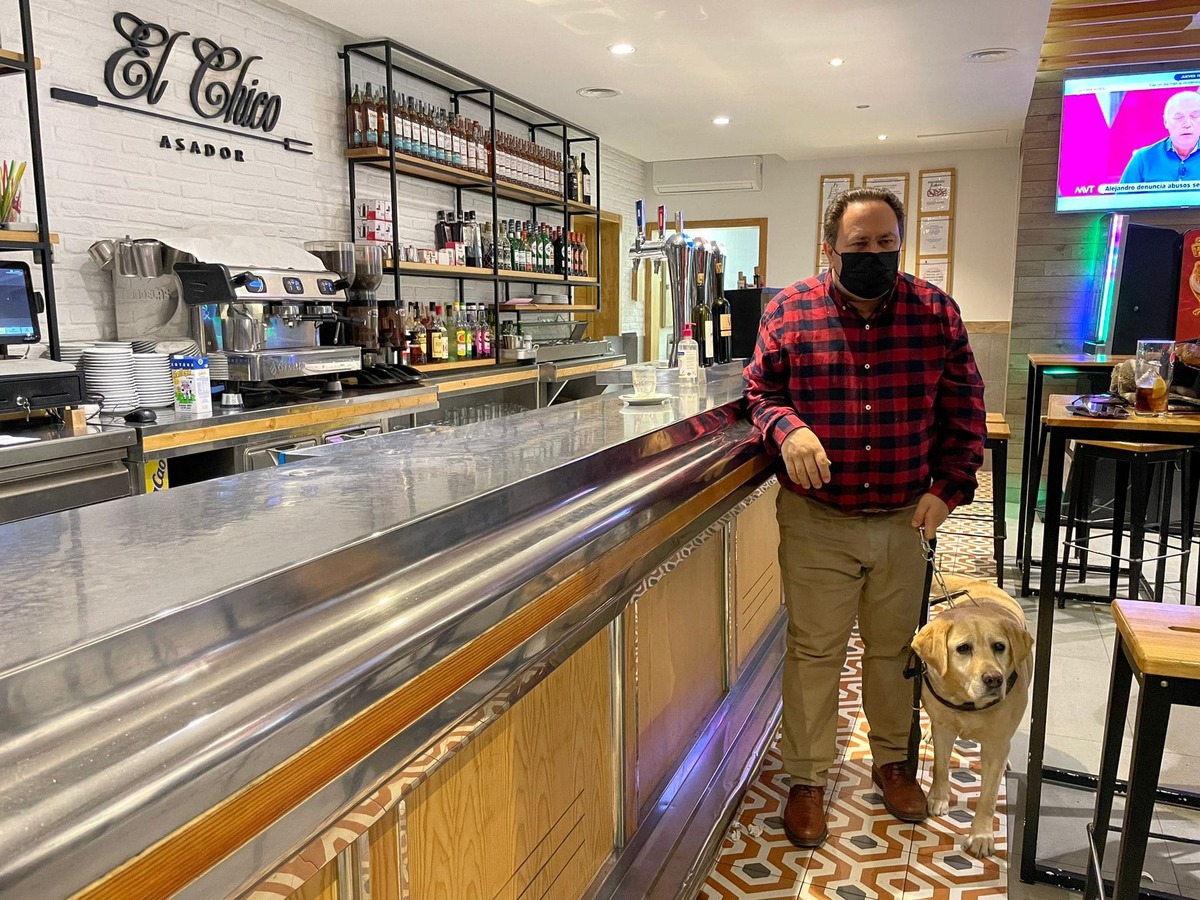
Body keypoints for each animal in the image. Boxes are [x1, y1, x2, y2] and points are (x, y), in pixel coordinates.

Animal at [907, 578, 1032, 859]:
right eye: (963, 649)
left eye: (999, 647)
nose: (994, 679)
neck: (967, 701)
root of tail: (981, 583)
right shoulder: (944, 729)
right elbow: (941, 766)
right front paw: (938, 797)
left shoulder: (996, 746)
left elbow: (988, 796)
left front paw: (981, 836)